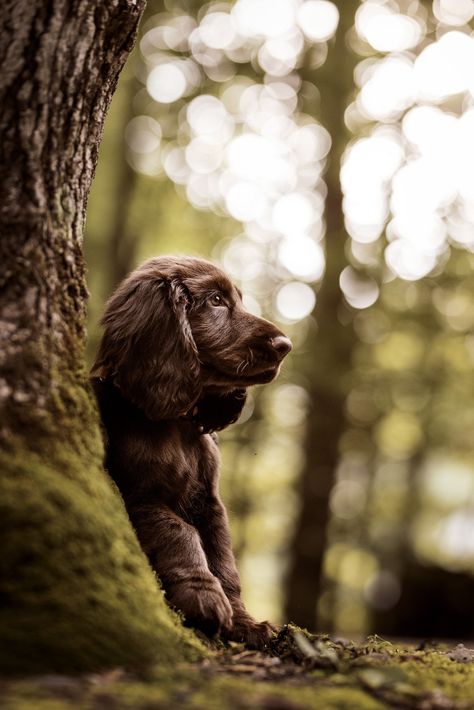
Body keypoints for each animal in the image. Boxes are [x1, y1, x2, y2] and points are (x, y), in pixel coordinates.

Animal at [90, 258, 290, 652]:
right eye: (215, 300)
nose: (285, 345)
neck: (175, 421)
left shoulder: (211, 502)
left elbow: (224, 557)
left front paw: (243, 621)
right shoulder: (137, 495)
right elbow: (179, 531)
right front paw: (204, 598)